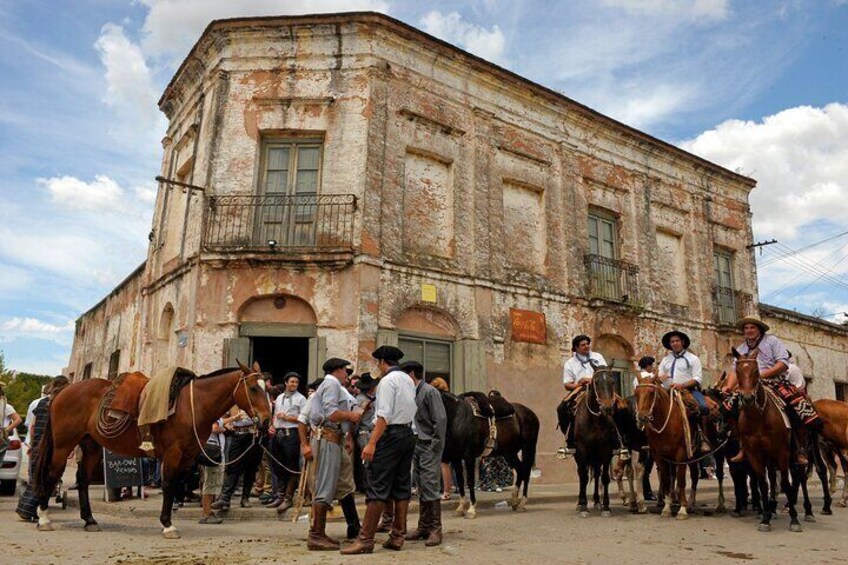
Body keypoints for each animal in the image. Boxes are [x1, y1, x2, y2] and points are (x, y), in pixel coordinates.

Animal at [32, 362, 272, 536]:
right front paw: (167, 524)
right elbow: (169, 485)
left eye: (268, 389)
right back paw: (43, 517)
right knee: (52, 474)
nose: (266, 420)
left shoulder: (189, 456)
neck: (191, 405)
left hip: (90, 445)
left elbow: (177, 484)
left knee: (82, 480)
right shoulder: (173, 454)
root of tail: (64, 391)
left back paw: (89, 520)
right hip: (63, 444)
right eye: (253, 388)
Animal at [556, 368, 624, 516]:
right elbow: (583, 476)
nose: (607, 408)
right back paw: (580, 503)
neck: (595, 421)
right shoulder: (582, 449)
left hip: (596, 455)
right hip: (579, 454)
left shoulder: (606, 450)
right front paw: (582, 506)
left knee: (597, 474)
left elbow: (604, 478)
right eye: (596, 382)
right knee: (582, 473)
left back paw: (597, 502)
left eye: (612, 381)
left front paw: (606, 507)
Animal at [732, 346, 804, 532]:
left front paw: (794, 520)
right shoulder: (754, 454)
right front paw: (765, 518)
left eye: (757, 371)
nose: (748, 398)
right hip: (769, 457)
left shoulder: (782, 452)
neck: (758, 418)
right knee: (772, 479)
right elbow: (763, 484)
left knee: (795, 478)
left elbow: (785, 483)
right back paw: (771, 508)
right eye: (737, 371)